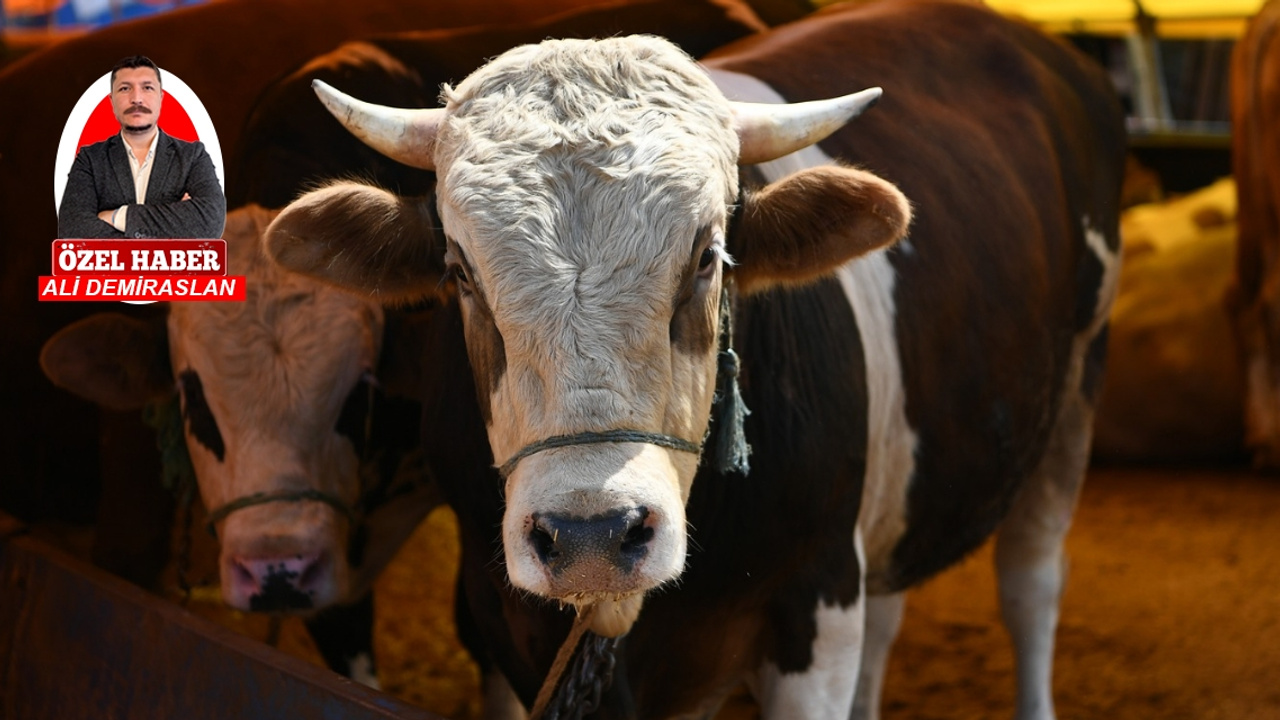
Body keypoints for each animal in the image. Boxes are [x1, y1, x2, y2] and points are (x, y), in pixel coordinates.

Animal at [267, 2, 1121, 712]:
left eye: (708, 256)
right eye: (459, 272)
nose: (592, 534)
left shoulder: (819, 606)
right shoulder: (503, 620)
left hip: (1074, 401)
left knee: (1032, 585)